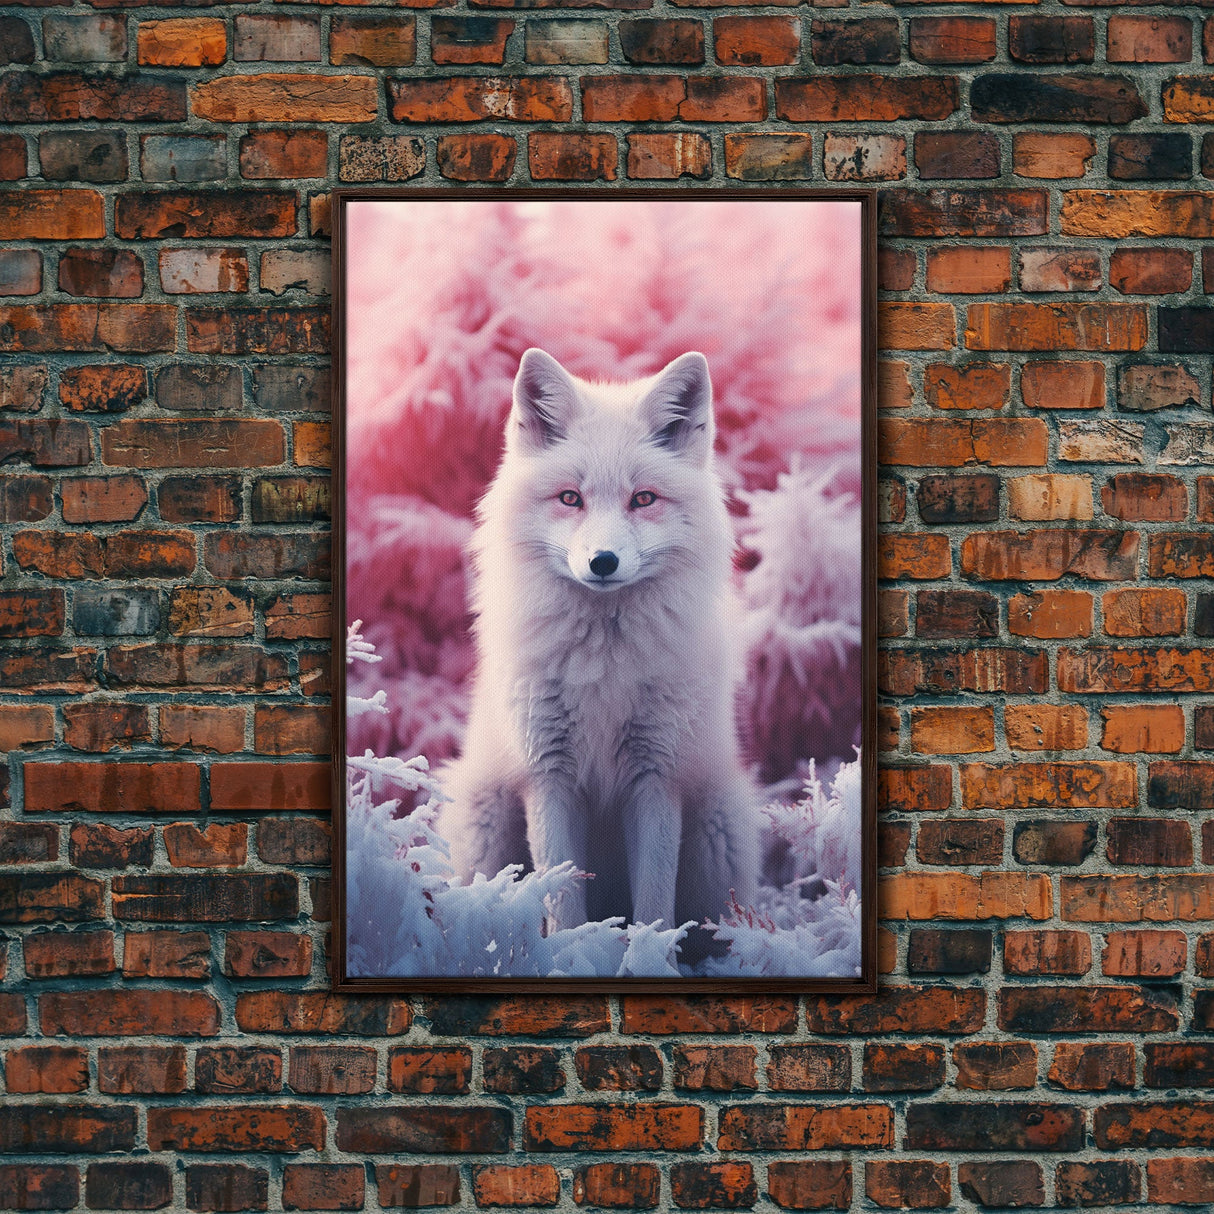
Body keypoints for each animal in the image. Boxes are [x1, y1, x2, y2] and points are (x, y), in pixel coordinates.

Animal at [441, 347, 758, 937]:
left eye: (643, 499)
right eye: (571, 498)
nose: (603, 562)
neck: (603, 668)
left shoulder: (656, 777)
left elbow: (654, 913)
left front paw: (648, 956)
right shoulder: (548, 776)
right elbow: (562, 902)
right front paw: (572, 952)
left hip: (715, 835)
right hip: (486, 828)